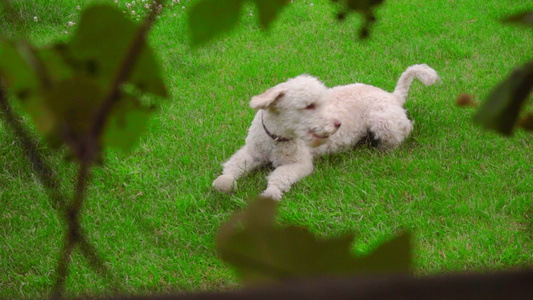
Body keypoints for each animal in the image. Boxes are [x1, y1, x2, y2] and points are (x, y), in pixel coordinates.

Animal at [211, 63, 436, 200]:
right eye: (309, 106)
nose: (338, 124)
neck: (276, 139)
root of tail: (392, 96)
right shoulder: (251, 152)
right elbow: (234, 166)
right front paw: (224, 182)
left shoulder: (299, 164)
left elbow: (279, 176)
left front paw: (270, 193)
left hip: (384, 122)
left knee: (401, 133)